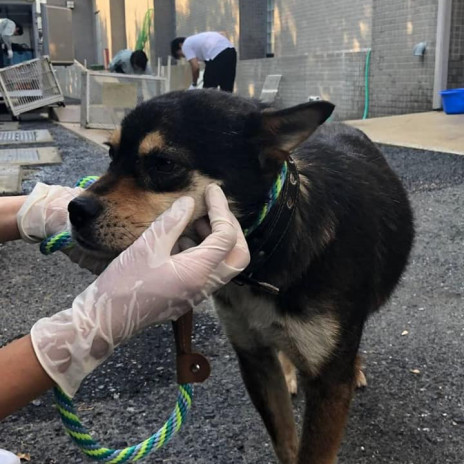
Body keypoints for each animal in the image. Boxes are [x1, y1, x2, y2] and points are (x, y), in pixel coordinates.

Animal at [68, 89, 414, 462]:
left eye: (163, 164)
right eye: (111, 153)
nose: (75, 210)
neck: (267, 252)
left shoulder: (328, 382)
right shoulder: (253, 357)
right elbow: (284, 440)